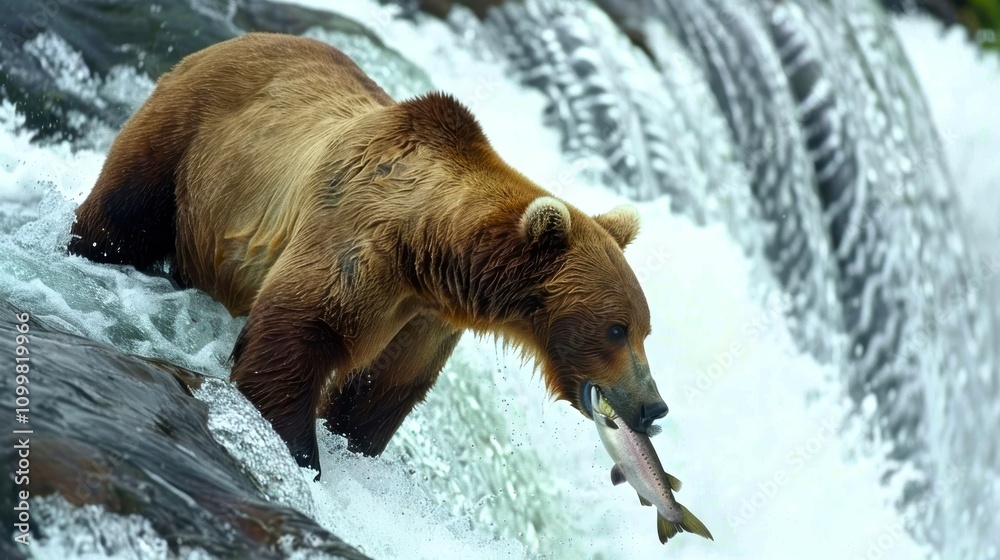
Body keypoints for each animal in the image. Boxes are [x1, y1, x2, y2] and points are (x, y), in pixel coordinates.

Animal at [68, 32, 668, 473]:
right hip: (188, 145)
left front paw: (349, 446)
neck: (433, 250)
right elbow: (298, 334)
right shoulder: (361, 246)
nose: (653, 406)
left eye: (644, 329)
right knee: (121, 216)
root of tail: (227, 41)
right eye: (616, 328)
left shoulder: (426, 321)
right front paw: (300, 455)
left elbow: (378, 394)